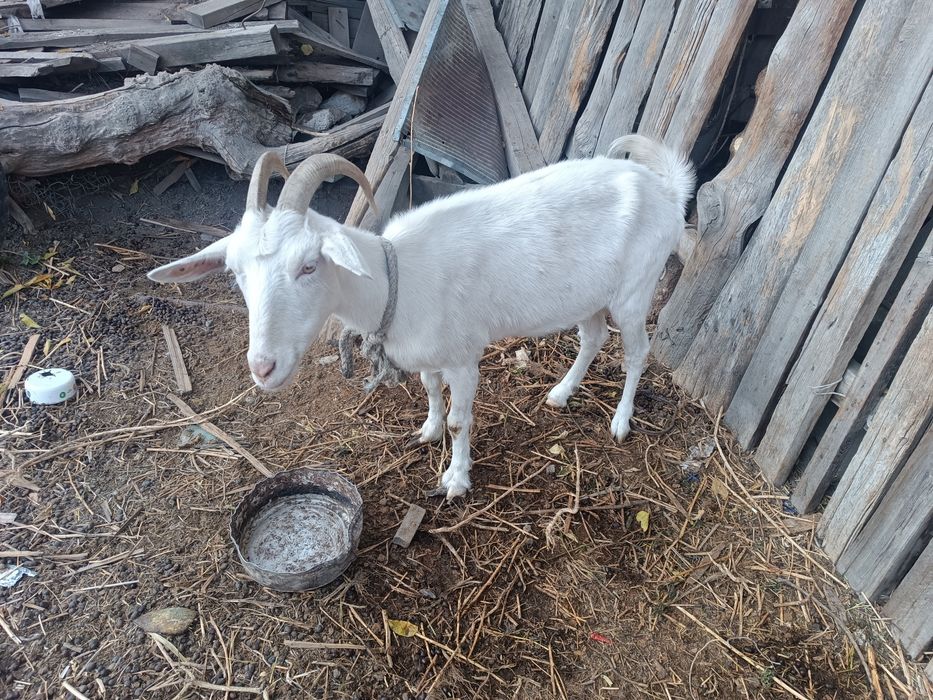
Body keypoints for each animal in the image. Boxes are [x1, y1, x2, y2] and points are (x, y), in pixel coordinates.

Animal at [148, 135, 695, 499]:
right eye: (236, 273)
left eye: (308, 264)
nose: (263, 368)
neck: (396, 280)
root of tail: (666, 190)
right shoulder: (429, 355)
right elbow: (430, 391)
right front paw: (427, 430)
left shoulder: (464, 357)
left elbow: (460, 419)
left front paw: (455, 478)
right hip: (588, 295)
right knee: (593, 335)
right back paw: (561, 393)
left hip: (635, 289)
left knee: (636, 352)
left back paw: (620, 421)